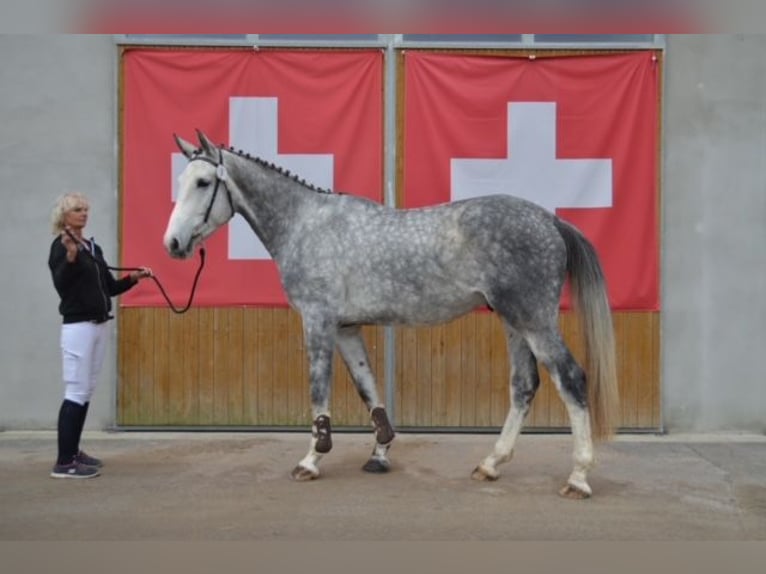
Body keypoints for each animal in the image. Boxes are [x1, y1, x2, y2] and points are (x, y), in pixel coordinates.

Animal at [165, 130, 620, 500]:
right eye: (181, 181)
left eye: (203, 182)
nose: (173, 243)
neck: (307, 224)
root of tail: (550, 220)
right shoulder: (346, 328)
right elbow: (367, 387)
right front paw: (380, 453)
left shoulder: (317, 321)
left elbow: (319, 390)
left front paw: (311, 460)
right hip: (513, 321)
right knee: (524, 386)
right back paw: (490, 464)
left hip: (534, 320)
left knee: (571, 379)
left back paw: (578, 478)